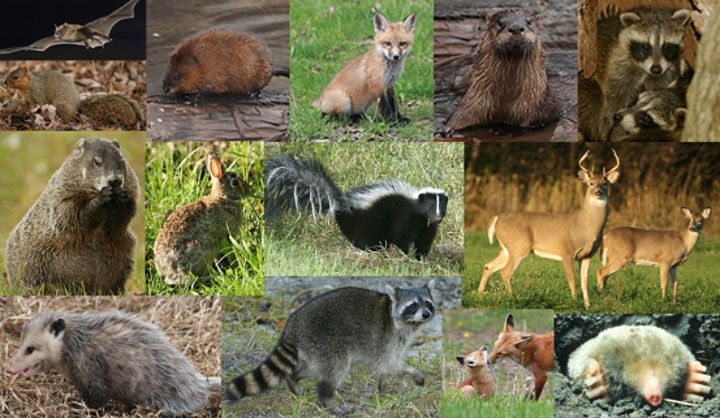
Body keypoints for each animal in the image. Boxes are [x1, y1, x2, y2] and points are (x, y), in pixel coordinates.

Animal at [477, 149, 620, 309]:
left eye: (605, 183)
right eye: (591, 183)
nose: (598, 192)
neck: (584, 226)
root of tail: (497, 218)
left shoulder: (587, 256)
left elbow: (585, 283)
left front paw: (587, 306)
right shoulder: (566, 251)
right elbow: (572, 280)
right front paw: (574, 302)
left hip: (506, 248)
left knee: (488, 266)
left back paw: (480, 295)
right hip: (518, 246)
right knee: (505, 272)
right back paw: (512, 298)